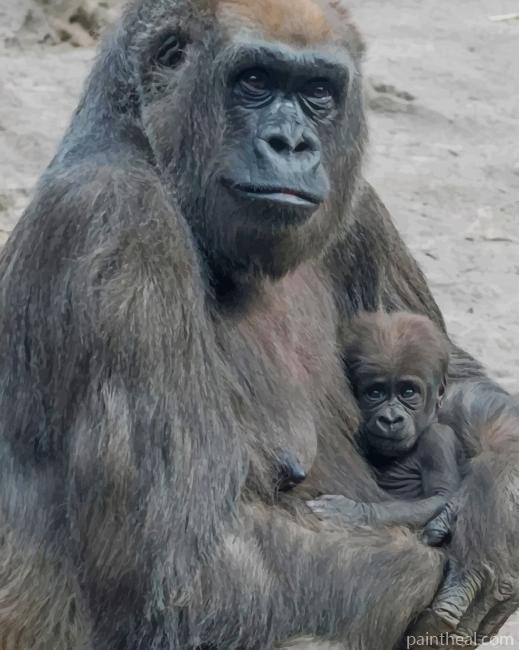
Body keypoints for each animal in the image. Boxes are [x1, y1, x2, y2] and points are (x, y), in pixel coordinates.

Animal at [309, 311, 464, 533]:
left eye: (408, 392)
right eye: (375, 393)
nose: (391, 419)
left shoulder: (438, 439)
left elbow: (440, 496)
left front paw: (357, 512)